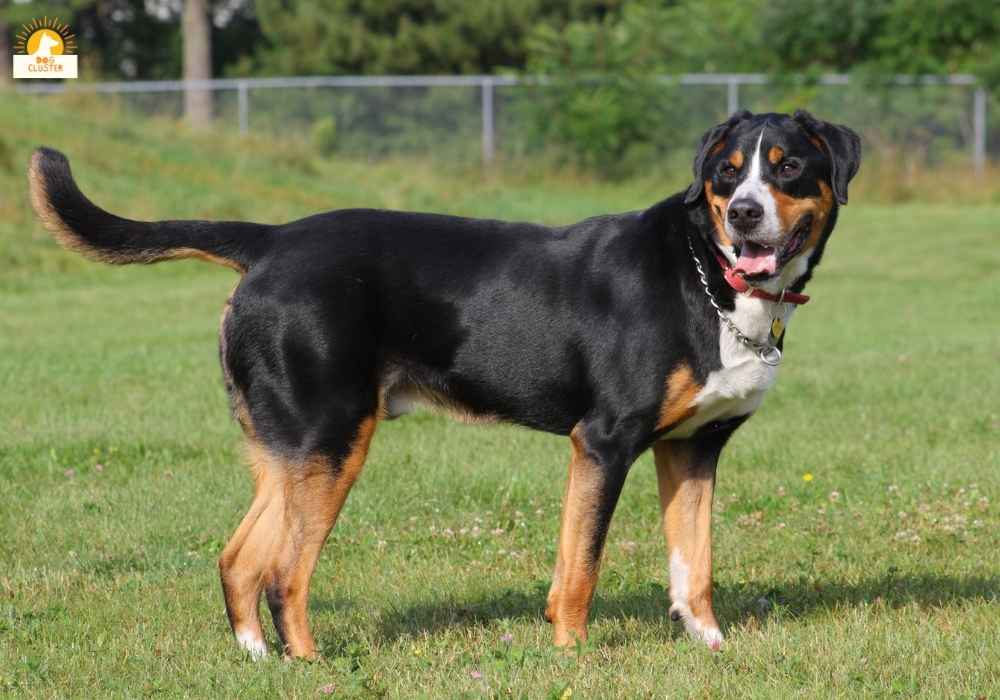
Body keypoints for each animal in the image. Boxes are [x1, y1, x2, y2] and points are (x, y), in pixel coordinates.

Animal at [29, 108, 860, 656]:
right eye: (727, 173)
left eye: (788, 166)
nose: (745, 214)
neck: (710, 279)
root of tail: (272, 240)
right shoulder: (605, 441)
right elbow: (580, 567)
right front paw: (571, 657)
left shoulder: (693, 448)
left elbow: (695, 566)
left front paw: (710, 646)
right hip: (334, 440)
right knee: (285, 574)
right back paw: (312, 665)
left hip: (295, 447)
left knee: (240, 560)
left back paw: (259, 658)